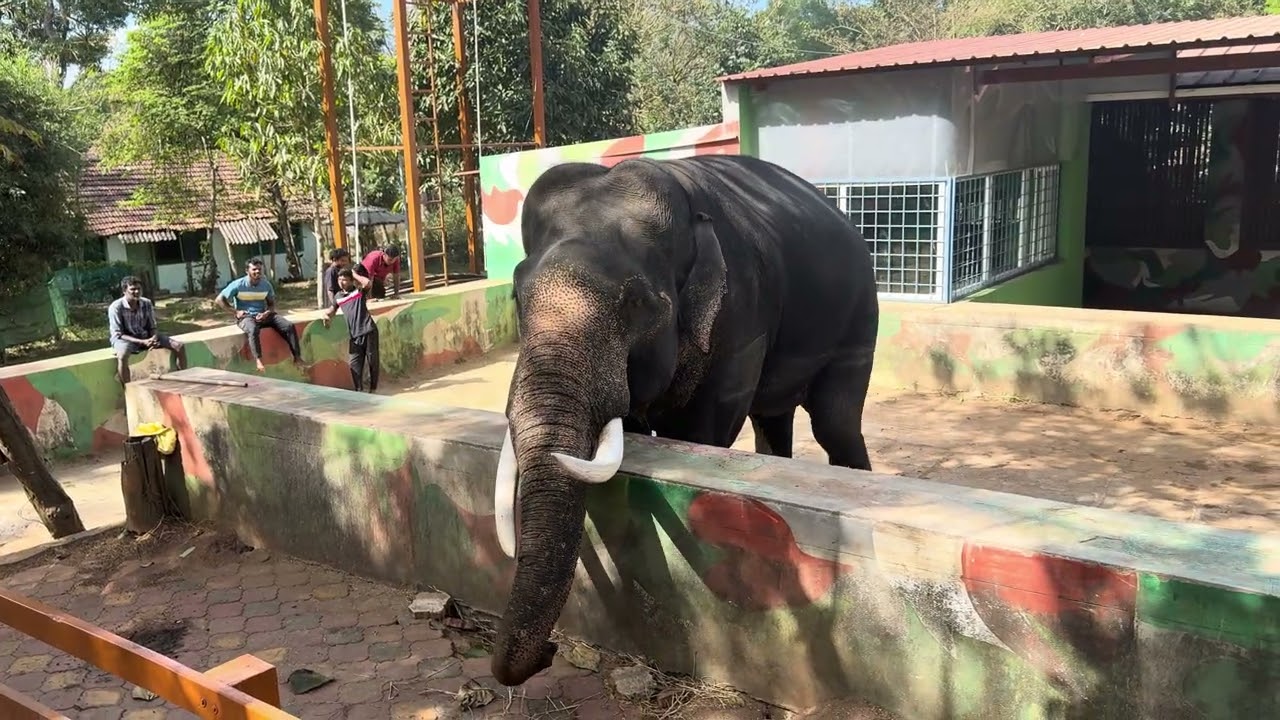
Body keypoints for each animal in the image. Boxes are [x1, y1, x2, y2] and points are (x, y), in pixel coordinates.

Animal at [489, 154, 879, 686]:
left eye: (637, 303)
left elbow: (700, 431)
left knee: (835, 423)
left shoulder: (741, 313)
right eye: (516, 297)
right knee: (772, 418)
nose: (550, 653)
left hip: (859, 311)